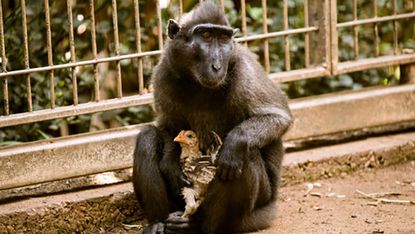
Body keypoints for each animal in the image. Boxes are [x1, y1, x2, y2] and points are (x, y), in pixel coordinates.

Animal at [132, 2, 292, 234]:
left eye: (224, 38)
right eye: (206, 35)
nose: (217, 66)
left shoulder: (244, 70)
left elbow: (278, 117)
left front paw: (233, 144)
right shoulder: (163, 74)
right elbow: (167, 127)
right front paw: (170, 162)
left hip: (257, 203)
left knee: (244, 154)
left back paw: (197, 226)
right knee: (147, 137)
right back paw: (158, 223)